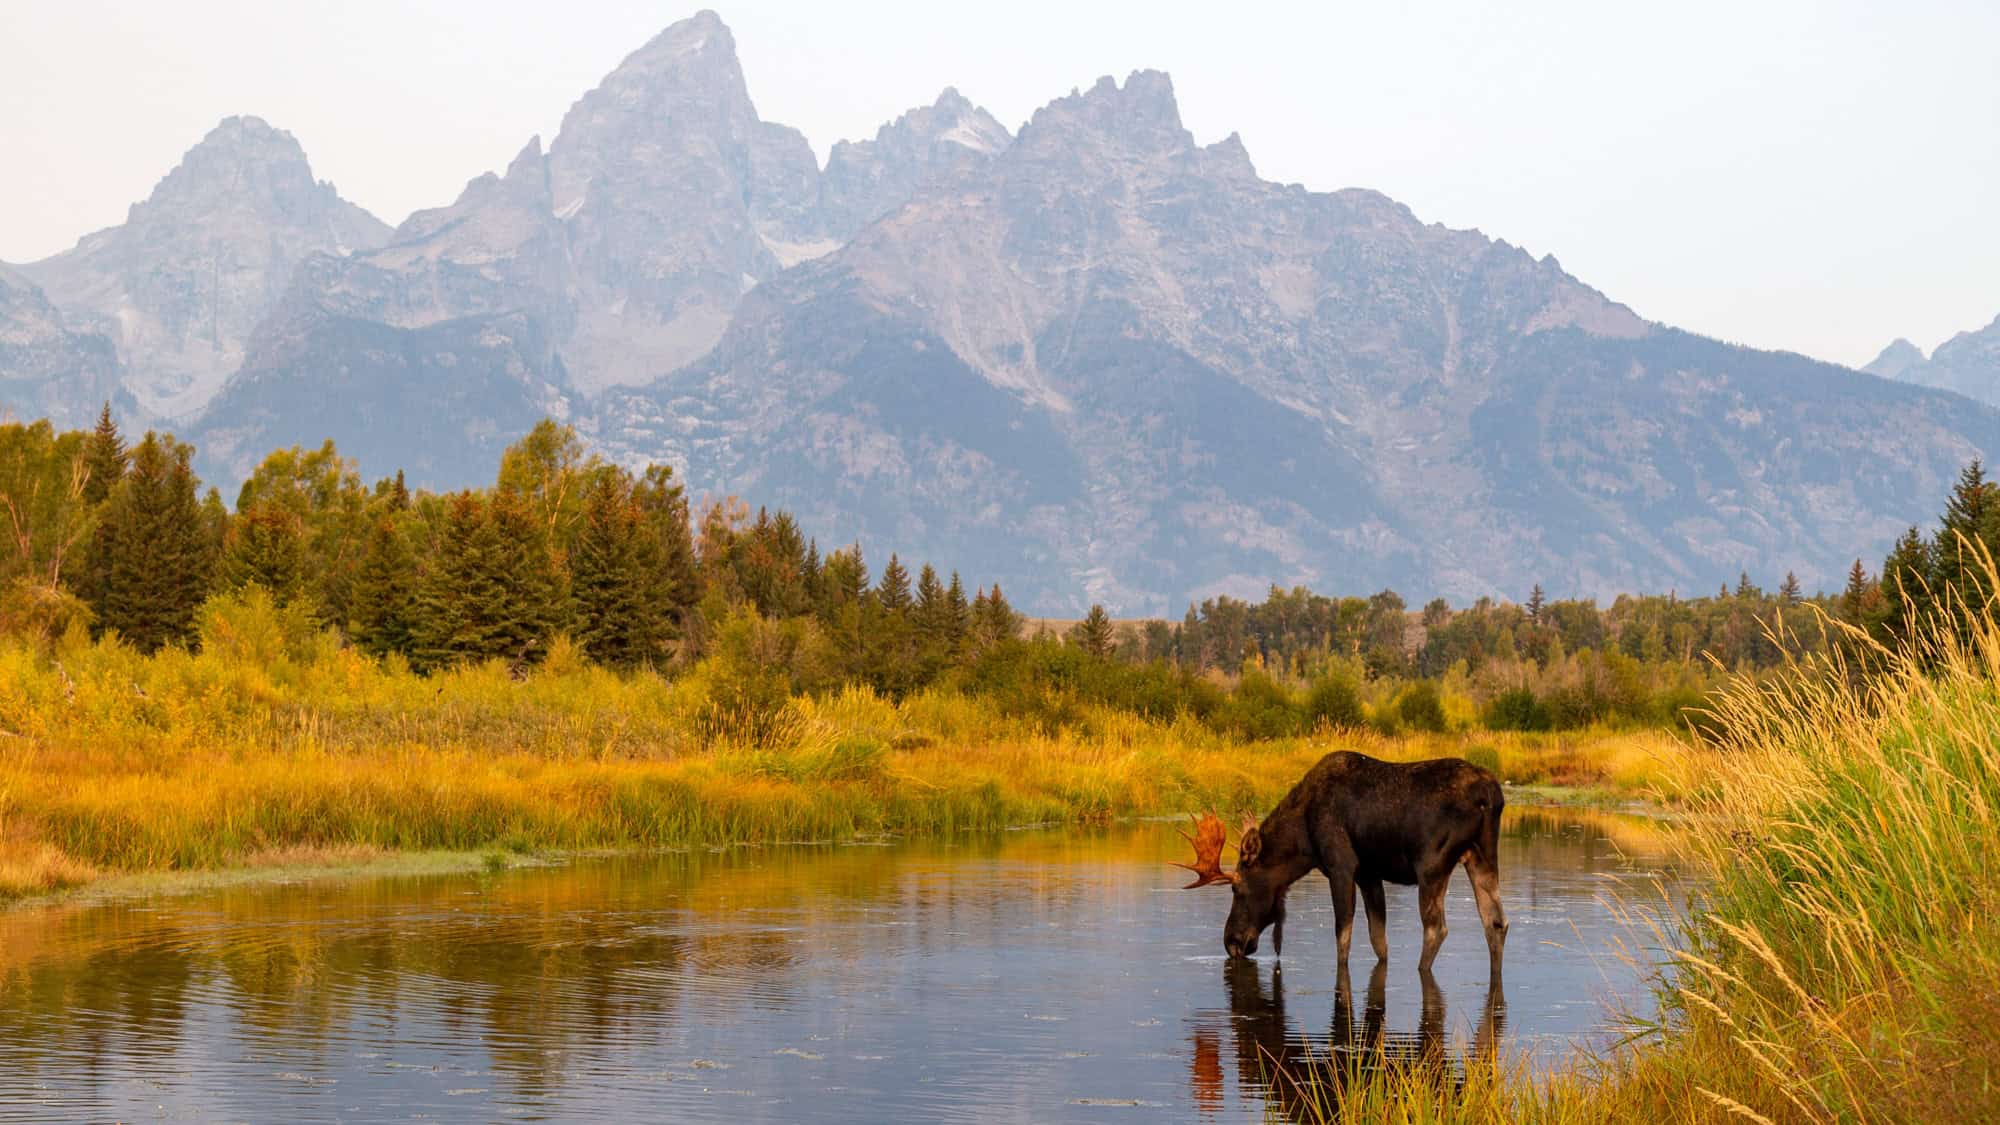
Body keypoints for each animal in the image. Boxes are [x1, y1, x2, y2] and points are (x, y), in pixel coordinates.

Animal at [1175, 750, 1508, 975]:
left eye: (1237, 888)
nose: (1231, 941)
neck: (1302, 840)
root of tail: (1491, 796)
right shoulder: (1370, 874)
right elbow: (1378, 940)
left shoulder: (1341, 866)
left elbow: (1343, 937)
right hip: (1481, 857)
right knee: (1496, 921)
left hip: (1431, 865)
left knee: (1436, 928)